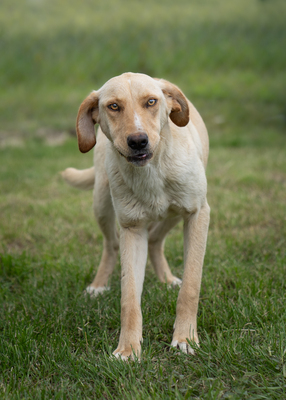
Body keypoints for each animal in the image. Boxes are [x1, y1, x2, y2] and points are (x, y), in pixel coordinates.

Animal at [62, 72, 210, 360]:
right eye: (113, 106)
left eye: (151, 101)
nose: (138, 141)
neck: (153, 171)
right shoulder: (132, 229)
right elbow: (129, 299)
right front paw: (128, 349)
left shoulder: (198, 214)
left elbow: (190, 286)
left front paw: (185, 338)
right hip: (102, 204)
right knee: (111, 244)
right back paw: (99, 285)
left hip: (175, 214)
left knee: (156, 240)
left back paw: (166, 279)